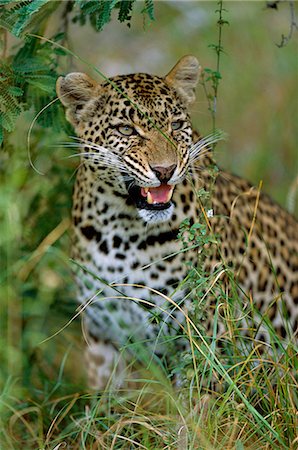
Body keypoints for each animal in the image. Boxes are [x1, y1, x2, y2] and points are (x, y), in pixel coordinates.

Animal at [56, 55, 298, 386]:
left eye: (176, 125)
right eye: (127, 130)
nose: (165, 170)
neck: (120, 230)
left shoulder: (208, 340)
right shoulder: (102, 340)